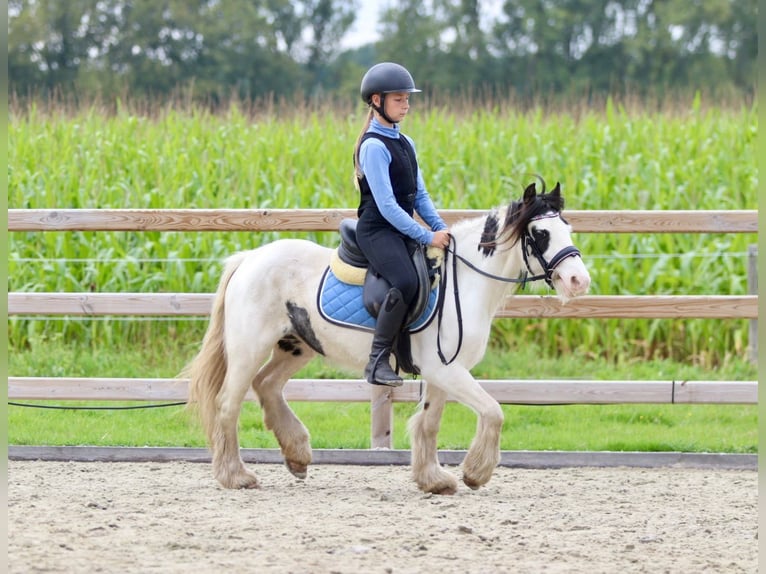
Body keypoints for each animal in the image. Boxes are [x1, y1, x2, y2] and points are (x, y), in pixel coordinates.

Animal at [186, 180, 592, 496]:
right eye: (540, 234)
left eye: (568, 229)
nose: (579, 281)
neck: (464, 284)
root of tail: (249, 258)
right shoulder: (447, 371)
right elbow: (493, 411)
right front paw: (475, 473)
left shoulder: (444, 372)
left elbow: (429, 423)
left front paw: (434, 480)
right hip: (249, 348)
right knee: (228, 404)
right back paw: (235, 476)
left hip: (297, 346)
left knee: (267, 385)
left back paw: (297, 454)